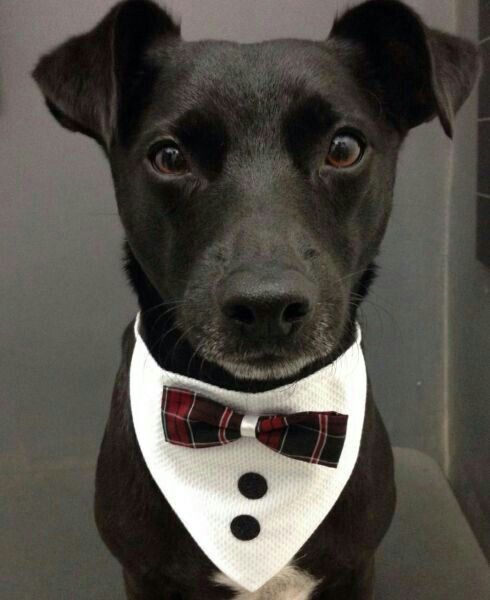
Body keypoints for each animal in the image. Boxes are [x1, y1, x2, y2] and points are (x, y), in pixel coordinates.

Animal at [33, 1, 478, 596]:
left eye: (344, 148)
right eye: (169, 157)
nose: (267, 304)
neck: (251, 411)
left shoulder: (356, 565)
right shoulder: (144, 572)